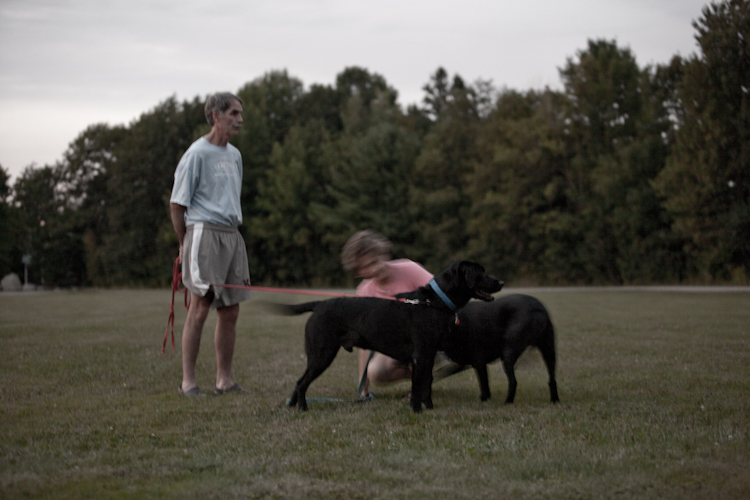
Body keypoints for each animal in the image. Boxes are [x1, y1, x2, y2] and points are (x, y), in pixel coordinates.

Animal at [284, 260, 502, 412]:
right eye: (480, 272)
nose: (501, 281)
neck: (433, 302)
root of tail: (319, 304)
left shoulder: (429, 354)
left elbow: (427, 385)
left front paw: (430, 408)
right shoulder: (421, 356)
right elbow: (418, 386)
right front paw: (417, 410)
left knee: (299, 381)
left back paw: (291, 404)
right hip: (322, 355)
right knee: (301, 383)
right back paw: (303, 407)